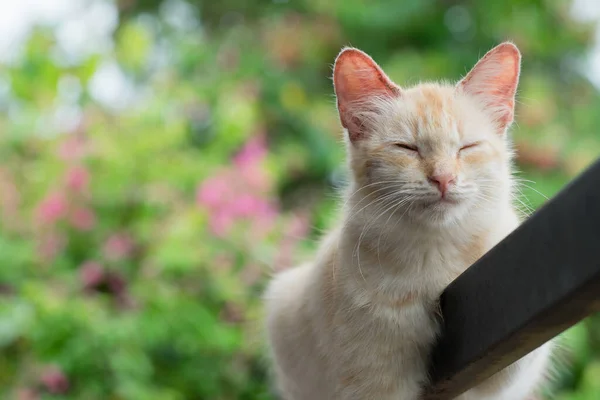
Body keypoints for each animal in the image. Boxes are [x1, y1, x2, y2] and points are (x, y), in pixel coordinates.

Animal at [262, 43, 552, 400]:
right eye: (406, 148)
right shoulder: (375, 385)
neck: (435, 254)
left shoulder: (503, 381)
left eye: (467, 147)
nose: (443, 179)